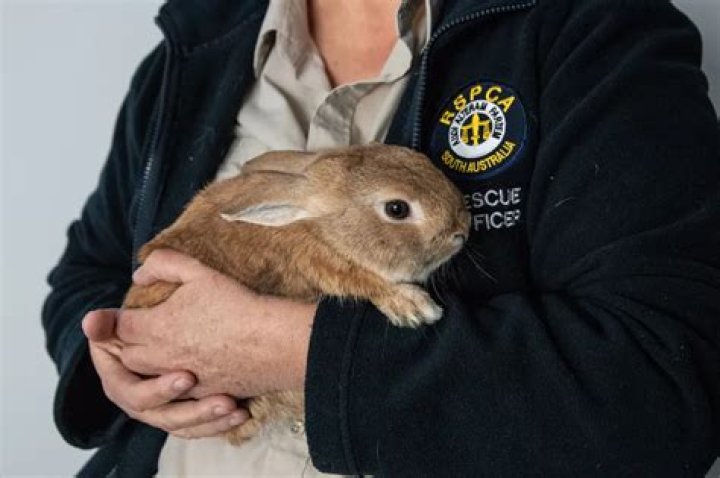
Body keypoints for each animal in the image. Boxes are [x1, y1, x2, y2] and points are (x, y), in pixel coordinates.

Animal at [118, 143, 471, 444]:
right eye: (396, 209)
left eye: (419, 158)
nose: (462, 228)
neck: (324, 232)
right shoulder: (327, 266)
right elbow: (365, 281)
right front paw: (416, 308)